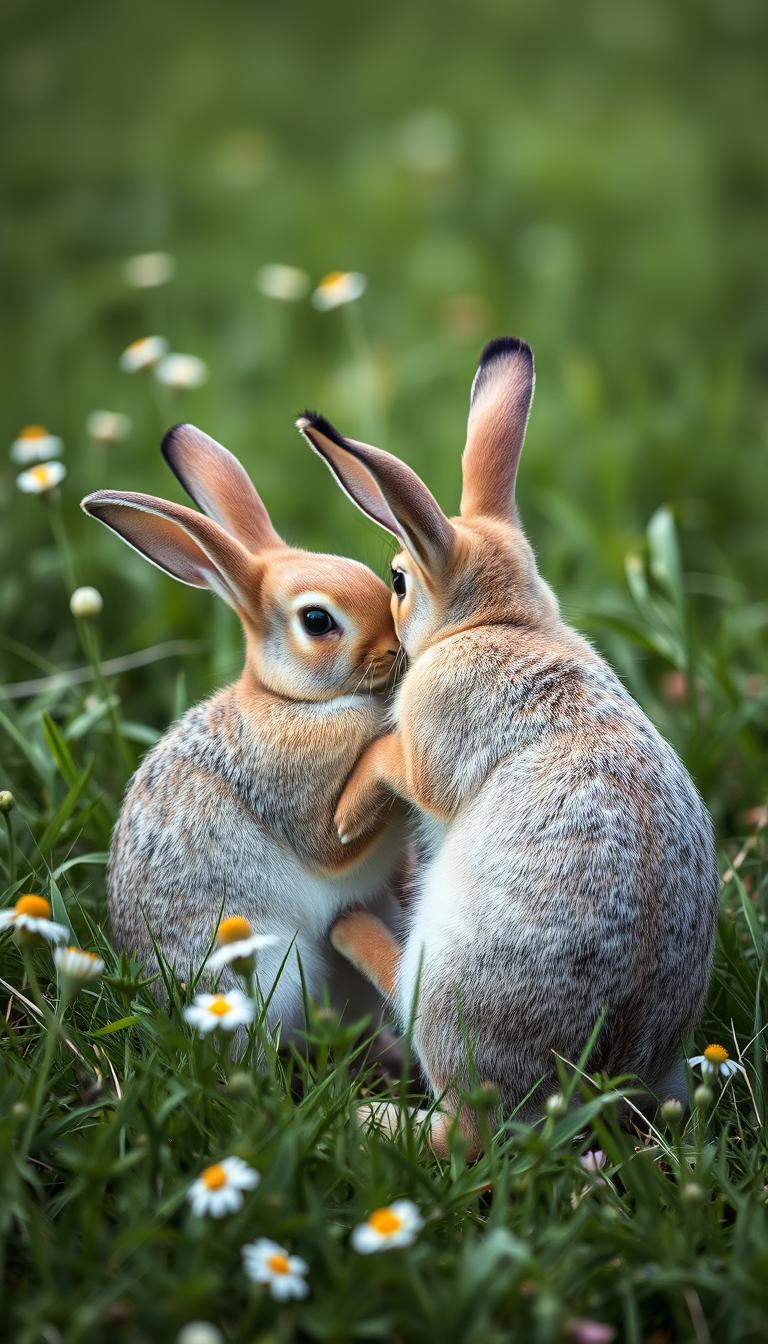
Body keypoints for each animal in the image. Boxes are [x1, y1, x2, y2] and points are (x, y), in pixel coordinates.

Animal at [297, 336, 719, 1153]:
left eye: (398, 580)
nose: (387, 622)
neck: (496, 620)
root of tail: (589, 1091)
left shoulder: (425, 747)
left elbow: (391, 764)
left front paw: (342, 816)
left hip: (443, 990)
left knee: (456, 1125)